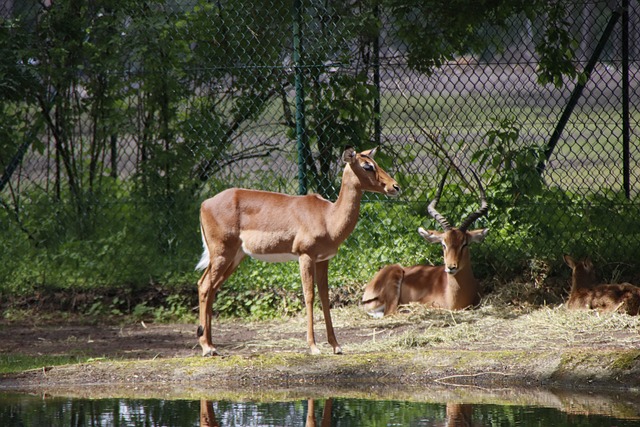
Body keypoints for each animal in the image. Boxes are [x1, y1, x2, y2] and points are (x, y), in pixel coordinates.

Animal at [195, 145, 400, 356]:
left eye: (375, 162)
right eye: (367, 166)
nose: (395, 186)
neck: (328, 217)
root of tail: (205, 203)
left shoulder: (323, 260)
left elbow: (325, 298)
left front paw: (336, 346)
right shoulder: (305, 256)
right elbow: (309, 296)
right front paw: (313, 347)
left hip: (234, 257)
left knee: (210, 288)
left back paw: (211, 344)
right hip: (222, 254)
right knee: (204, 286)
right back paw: (207, 347)